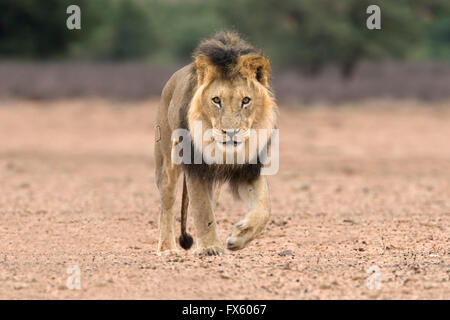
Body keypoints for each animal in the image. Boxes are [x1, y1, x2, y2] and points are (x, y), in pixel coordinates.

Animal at [155, 31, 278, 258]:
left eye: (246, 100)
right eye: (216, 100)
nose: (230, 132)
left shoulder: (248, 170)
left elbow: (264, 209)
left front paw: (239, 237)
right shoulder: (195, 169)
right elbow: (202, 210)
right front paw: (210, 248)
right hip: (166, 162)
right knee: (166, 204)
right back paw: (167, 249)